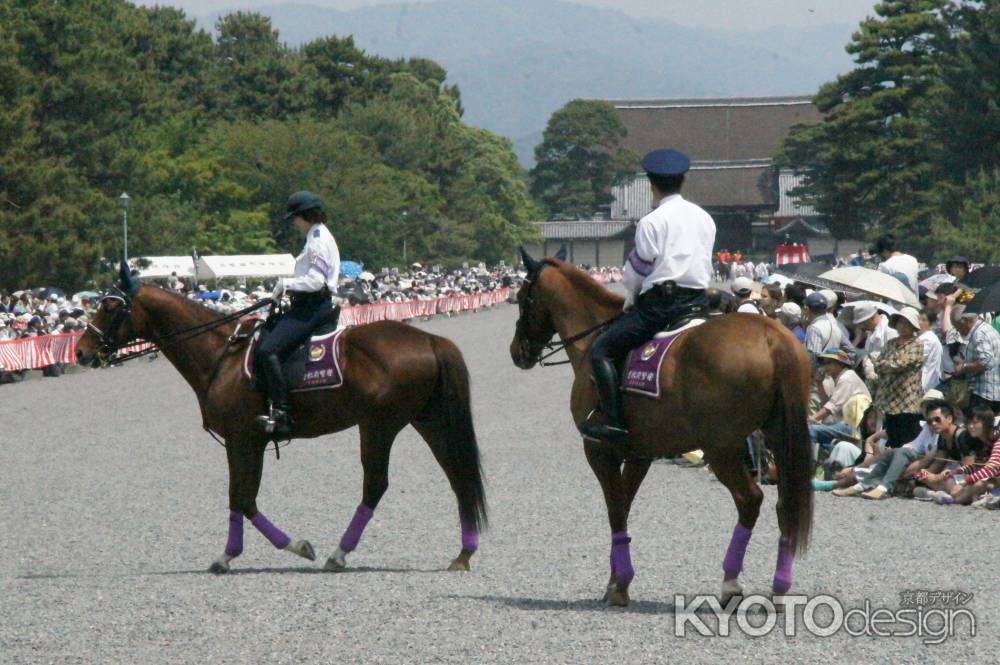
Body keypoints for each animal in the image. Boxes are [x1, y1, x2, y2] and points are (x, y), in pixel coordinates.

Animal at [75, 262, 488, 572]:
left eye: (110, 307)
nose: (80, 351)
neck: (221, 356)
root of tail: (429, 340)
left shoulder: (244, 440)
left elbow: (244, 499)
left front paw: (291, 546)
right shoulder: (243, 442)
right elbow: (239, 498)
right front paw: (230, 555)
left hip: (378, 426)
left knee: (377, 484)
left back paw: (339, 554)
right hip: (427, 421)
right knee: (458, 475)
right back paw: (463, 553)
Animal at [508, 249, 812, 608]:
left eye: (522, 298)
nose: (517, 351)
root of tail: (771, 337)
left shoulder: (599, 450)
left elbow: (615, 511)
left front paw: (619, 585)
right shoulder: (639, 453)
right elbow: (624, 506)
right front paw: (617, 580)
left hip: (721, 448)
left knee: (749, 499)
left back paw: (730, 584)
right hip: (779, 437)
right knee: (785, 506)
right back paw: (780, 587)